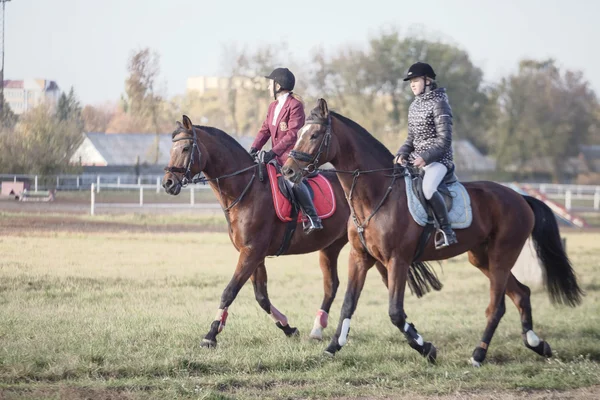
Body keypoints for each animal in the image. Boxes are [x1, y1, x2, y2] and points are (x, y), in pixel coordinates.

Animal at [164, 115, 404, 346]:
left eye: (185, 148)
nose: (168, 183)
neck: (246, 189)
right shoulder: (254, 255)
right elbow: (261, 297)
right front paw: (288, 327)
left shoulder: (251, 252)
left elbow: (229, 292)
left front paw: (211, 334)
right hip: (331, 247)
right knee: (331, 285)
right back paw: (317, 329)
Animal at [282, 99, 580, 366]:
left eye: (314, 135)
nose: (288, 171)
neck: (377, 195)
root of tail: (520, 197)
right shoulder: (360, 258)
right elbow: (348, 305)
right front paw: (332, 347)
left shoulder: (397, 261)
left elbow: (396, 313)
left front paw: (426, 349)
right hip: (483, 258)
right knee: (521, 294)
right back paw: (538, 345)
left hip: (501, 257)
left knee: (497, 306)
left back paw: (478, 355)